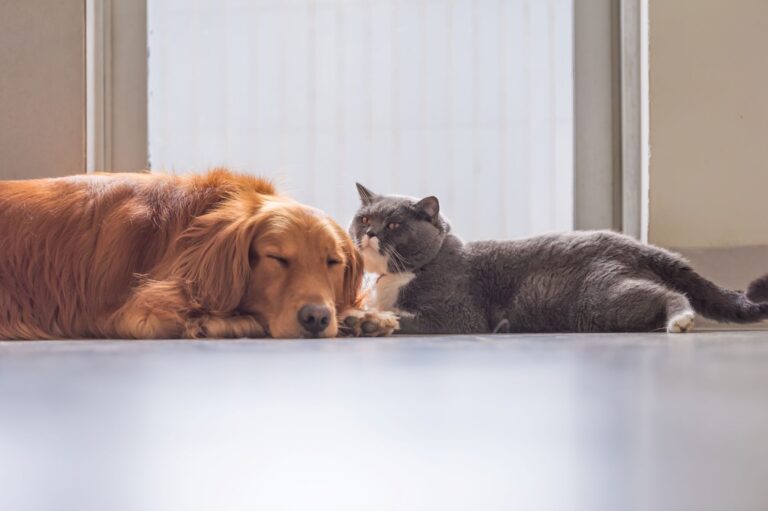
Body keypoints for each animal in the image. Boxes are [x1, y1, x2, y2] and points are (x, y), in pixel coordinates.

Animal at [0, 169, 396, 340]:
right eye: (277, 259)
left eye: (333, 262)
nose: (316, 318)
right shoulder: (136, 312)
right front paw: (224, 321)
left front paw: (363, 316)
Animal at [350, 184, 768, 336]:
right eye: (365, 219)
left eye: (394, 224)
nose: (370, 233)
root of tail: (633, 244)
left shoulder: (459, 313)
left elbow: (407, 317)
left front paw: (369, 321)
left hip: (601, 298)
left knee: (667, 294)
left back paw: (680, 321)